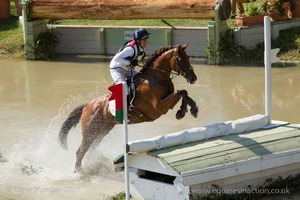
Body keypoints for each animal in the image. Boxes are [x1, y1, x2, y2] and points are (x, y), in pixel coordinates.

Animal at [58, 43, 199, 173]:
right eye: (180, 59)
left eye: (188, 57)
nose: (193, 78)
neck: (156, 79)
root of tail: (87, 105)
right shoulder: (159, 107)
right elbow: (180, 92)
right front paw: (183, 111)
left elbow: (184, 92)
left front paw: (190, 109)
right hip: (90, 132)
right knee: (80, 151)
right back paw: (78, 172)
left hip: (102, 131)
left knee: (90, 150)